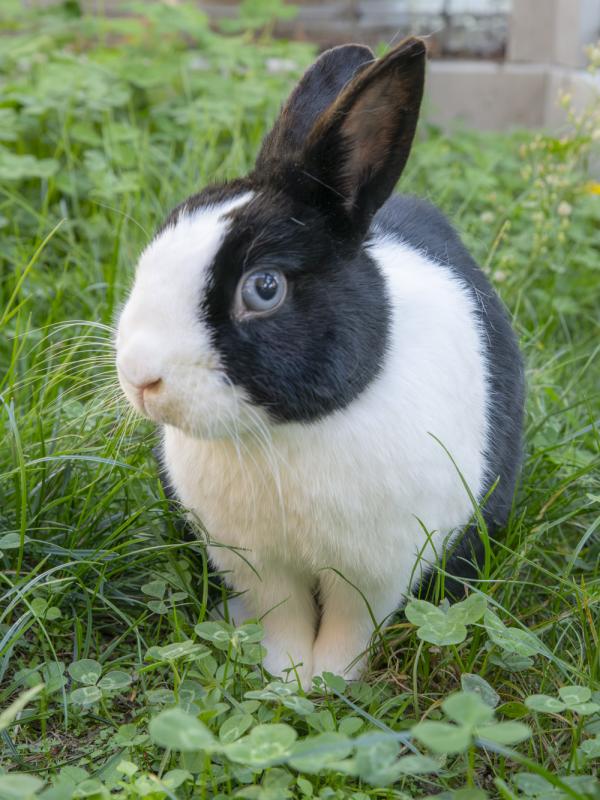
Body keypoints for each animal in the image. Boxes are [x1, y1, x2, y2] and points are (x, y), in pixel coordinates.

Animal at [115, 38, 524, 687]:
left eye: (264, 288)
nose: (140, 378)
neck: (283, 434)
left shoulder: (378, 569)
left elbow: (350, 626)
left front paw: (329, 683)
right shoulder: (255, 565)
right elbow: (280, 615)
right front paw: (285, 678)